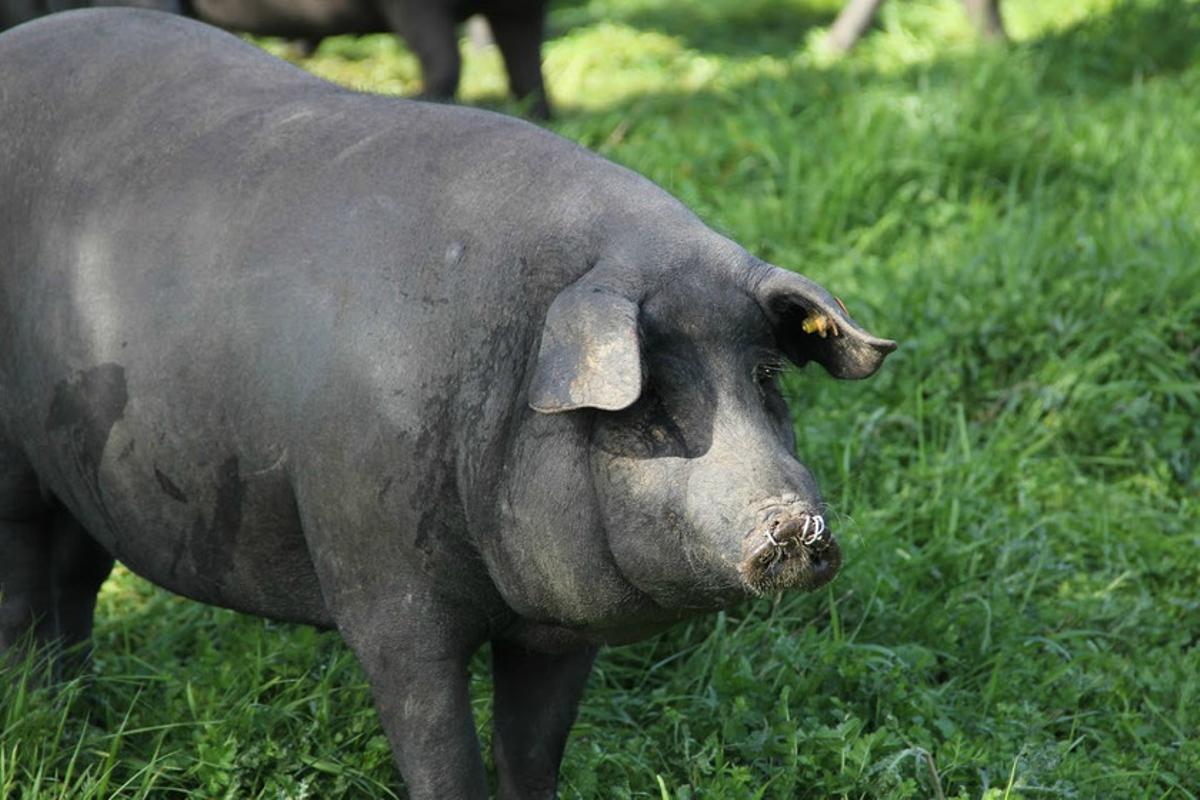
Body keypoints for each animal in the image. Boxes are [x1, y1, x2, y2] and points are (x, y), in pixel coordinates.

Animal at [0, 9, 895, 798]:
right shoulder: (382, 587)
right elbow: (441, 755)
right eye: (648, 407)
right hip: (15, 469)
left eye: (767, 379)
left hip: (84, 472)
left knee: (74, 576)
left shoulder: (558, 632)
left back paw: (81, 706)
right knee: (23, 581)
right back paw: (42, 712)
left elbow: (532, 754)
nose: (795, 525)